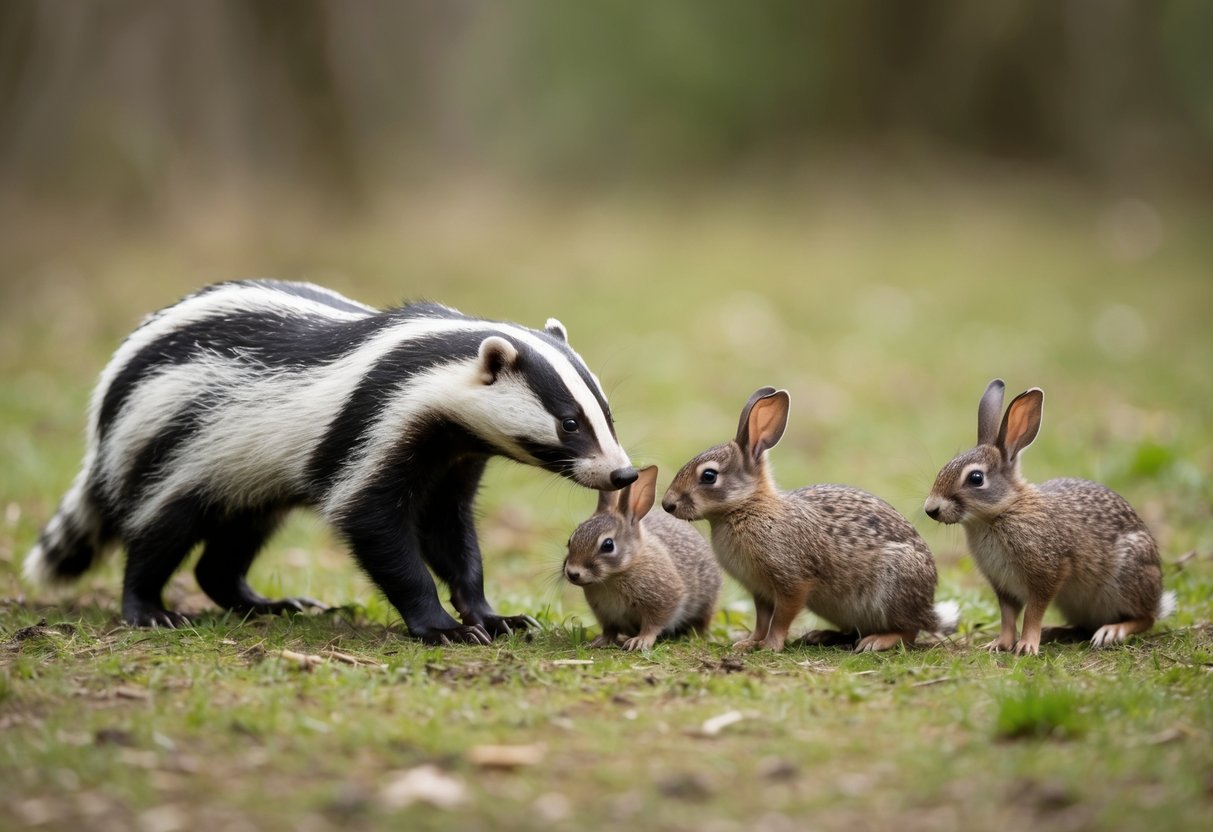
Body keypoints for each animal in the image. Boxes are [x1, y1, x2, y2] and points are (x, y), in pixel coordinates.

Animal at [564, 465, 722, 651]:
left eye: (608, 545)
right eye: (571, 539)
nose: (572, 573)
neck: (615, 575)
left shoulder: (663, 600)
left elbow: (653, 624)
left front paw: (640, 641)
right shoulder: (606, 614)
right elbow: (609, 629)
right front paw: (600, 641)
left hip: (705, 602)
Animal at [661, 387, 957, 653]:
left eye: (709, 476)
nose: (667, 504)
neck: (745, 508)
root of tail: (928, 608)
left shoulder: (793, 582)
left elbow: (781, 618)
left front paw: (770, 646)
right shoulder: (760, 590)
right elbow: (762, 620)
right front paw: (748, 643)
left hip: (893, 588)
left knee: (909, 630)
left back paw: (876, 642)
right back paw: (822, 636)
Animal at [924, 379, 1176, 656]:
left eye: (976, 478)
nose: (931, 509)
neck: (1001, 511)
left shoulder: (1049, 572)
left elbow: (1033, 612)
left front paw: (1026, 646)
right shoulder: (1003, 586)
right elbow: (1008, 617)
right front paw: (999, 644)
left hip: (1126, 579)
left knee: (1146, 618)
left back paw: (1111, 631)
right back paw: (1054, 631)